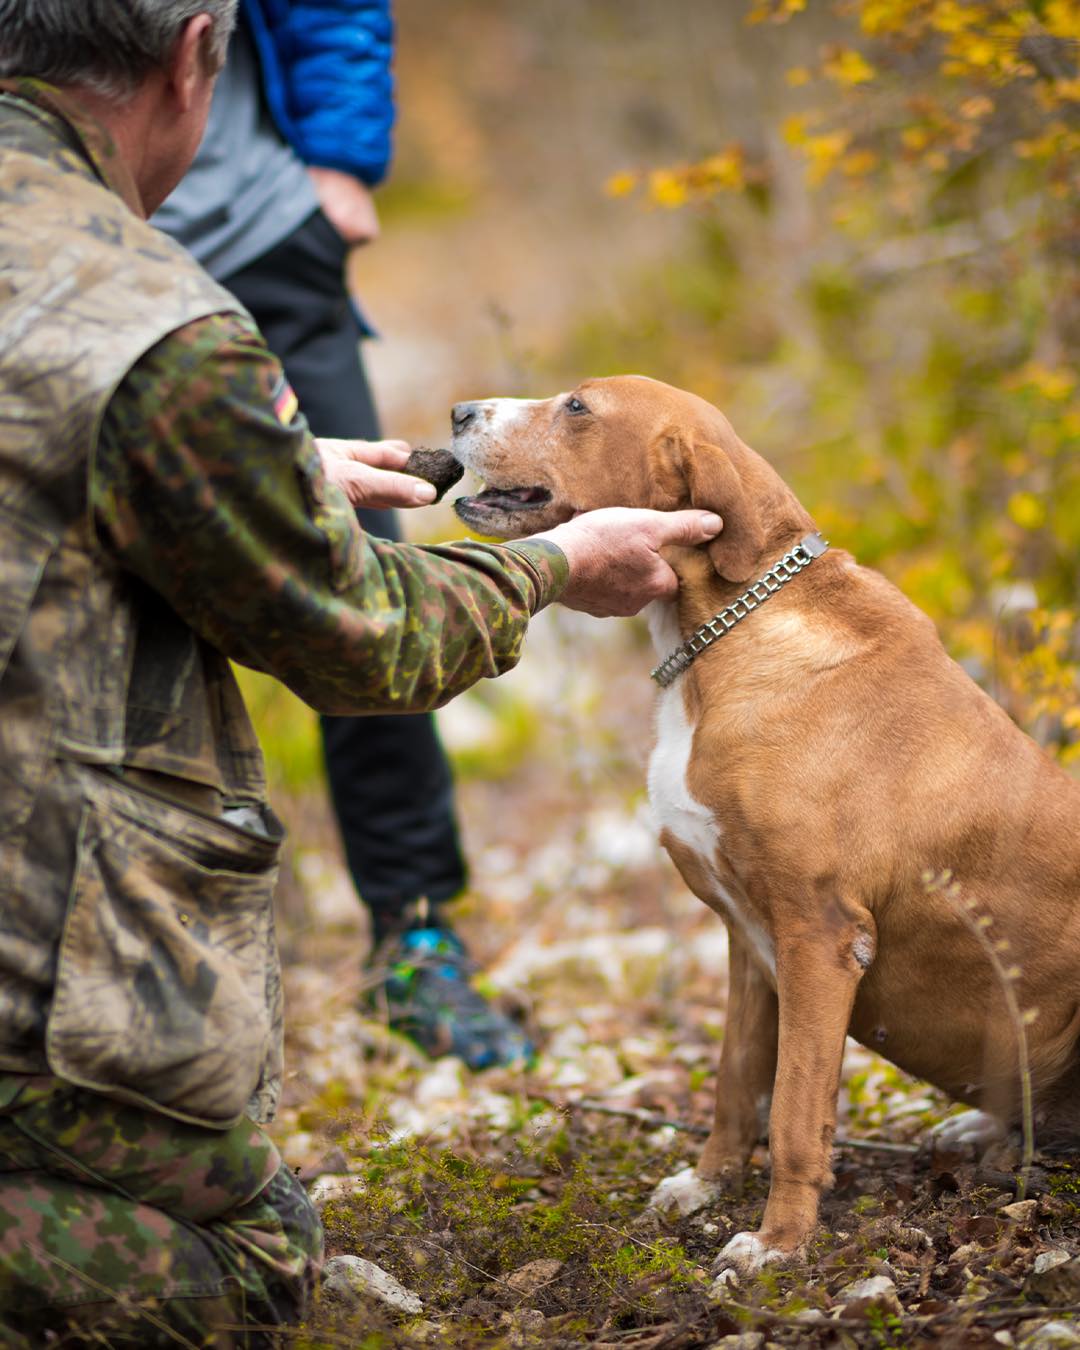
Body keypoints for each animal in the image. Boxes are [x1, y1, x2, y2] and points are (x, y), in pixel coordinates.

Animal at [448, 378, 1080, 1274]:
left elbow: (792, 1113)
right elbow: (735, 1084)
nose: (459, 413)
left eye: (577, 407)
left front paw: (777, 1244)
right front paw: (706, 1185)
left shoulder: (821, 937)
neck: (728, 631)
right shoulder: (752, 943)